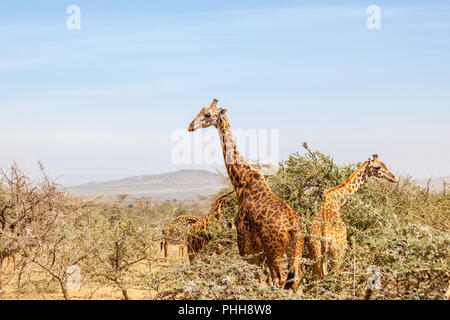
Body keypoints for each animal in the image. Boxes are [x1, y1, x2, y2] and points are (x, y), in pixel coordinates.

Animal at [188, 98, 304, 290]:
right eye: (201, 110)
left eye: (208, 114)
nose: (190, 126)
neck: (242, 182)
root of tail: (293, 226)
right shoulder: (255, 249)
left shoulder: (245, 243)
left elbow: (256, 279)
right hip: (296, 250)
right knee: (293, 282)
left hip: (273, 252)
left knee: (279, 281)